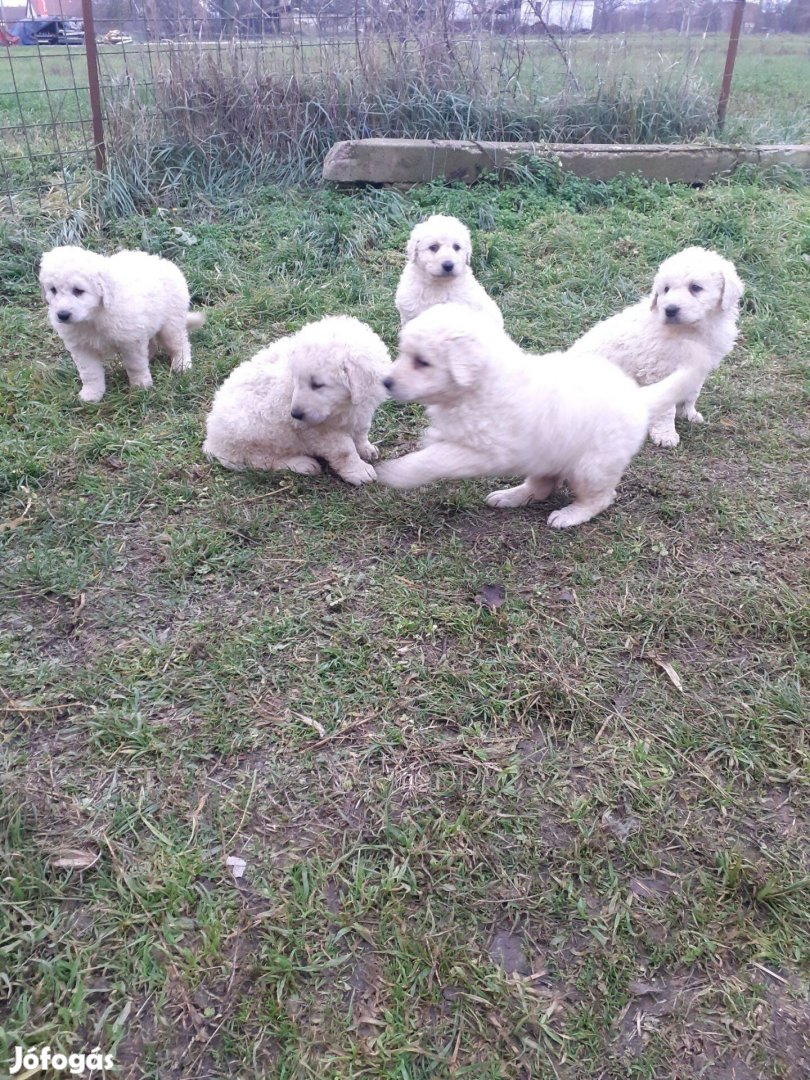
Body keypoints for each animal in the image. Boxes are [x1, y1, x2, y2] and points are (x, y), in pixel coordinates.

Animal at [38, 247, 204, 403]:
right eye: (53, 290)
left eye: (78, 291)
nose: (62, 315)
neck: (93, 317)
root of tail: (165, 263)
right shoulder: (81, 348)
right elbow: (89, 372)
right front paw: (92, 394)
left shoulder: (131, 340)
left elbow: (135, 365)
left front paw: (140, 387)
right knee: (152, 344)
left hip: (171, 323)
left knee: (180, 344)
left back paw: (182, 365)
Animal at [204, 311, 390, 483]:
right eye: (297, 381)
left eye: (317, 385)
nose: (295, 415)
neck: (344, 405)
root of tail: (211, 443)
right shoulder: (321, 431)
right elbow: (344, 450)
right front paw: (358, 471)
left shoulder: (361, 410)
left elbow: (361, 431)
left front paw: (366, 448)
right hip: (254, 432)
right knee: (261, 460)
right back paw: (301, 464)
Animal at [375, 304, 699, 527]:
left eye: (422, 362)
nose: (385, 382)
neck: (478, 386)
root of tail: (638, 399)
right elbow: (437, 442)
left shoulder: (486, 452)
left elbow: (435, 459)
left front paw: (398, 472)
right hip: (549, 453)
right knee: (542, 486)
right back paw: (510, 496)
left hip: (592, 466)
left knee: (601, 497)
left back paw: (569, 515)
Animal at [565, 246, 747, 447]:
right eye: (666, 289)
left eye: (695, 288)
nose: (670, 309)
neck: (690, 330)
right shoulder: (659, 370)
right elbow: (667, 407)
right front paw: (665, 434)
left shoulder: (699, 367)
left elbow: (692, 392)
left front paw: (688, 414)